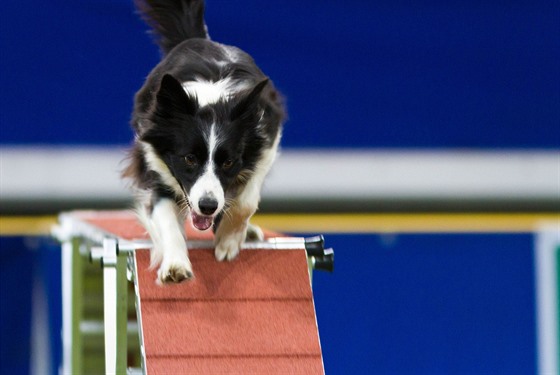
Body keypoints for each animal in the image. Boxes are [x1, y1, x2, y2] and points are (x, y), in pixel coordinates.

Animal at [125, 0, 286, 282]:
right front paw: (175, 265)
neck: (212, 99)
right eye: (189, 158)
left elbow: (245, 202)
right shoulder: (155, 161)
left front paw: (228, 240)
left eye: (229, 162)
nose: (208, 206)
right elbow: (165, 217)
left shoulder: (266, 141)